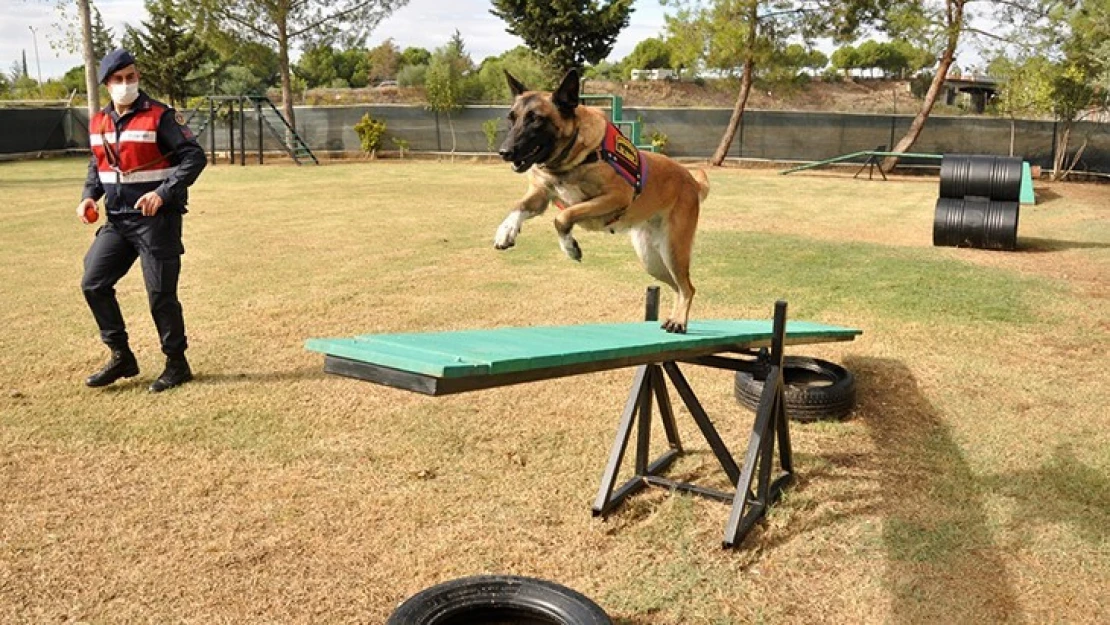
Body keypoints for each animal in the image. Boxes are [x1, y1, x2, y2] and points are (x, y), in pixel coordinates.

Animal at [495, 69, 710, 335]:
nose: (504, 152)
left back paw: (679, 321)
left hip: (673, 249)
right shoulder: (540, 194)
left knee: (688, 287)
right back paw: (674, 318)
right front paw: (506, 231)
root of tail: (691, 180)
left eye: (536, 119)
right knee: (678, 287)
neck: (571, 158)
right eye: (511, 118)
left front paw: (570, 247)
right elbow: (519, 206)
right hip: (651, 259)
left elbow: (562, 217)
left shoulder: (615, 197)